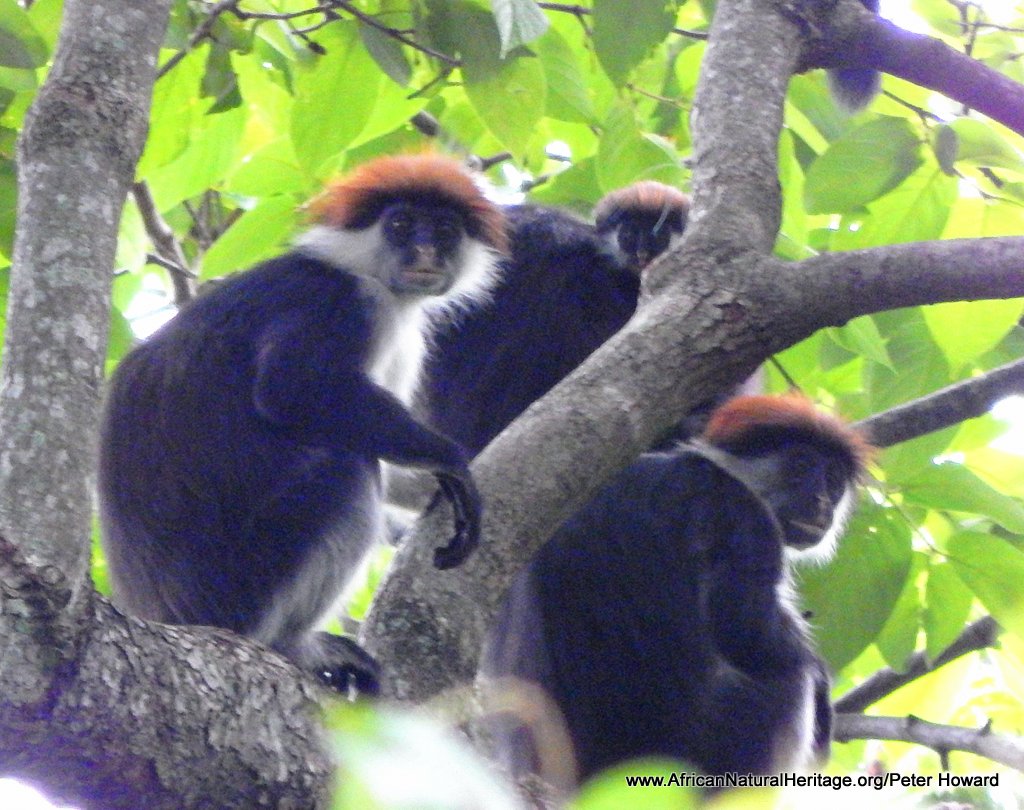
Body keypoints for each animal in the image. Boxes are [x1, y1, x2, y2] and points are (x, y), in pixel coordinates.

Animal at [99, 151, 507, 692]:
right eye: (400, 224)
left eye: (443, 229)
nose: (424, 250)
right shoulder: (338, 301)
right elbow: (291, 391)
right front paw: (452, 461)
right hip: (243, 584)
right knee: (345, 469)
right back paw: (290, 644)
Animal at [483, 395, 868, 790]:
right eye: (801, 465)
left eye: (833, 480)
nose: (822, 501)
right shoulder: (742, 513)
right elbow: (751, 638)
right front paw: (818, 676)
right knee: (789, 680)